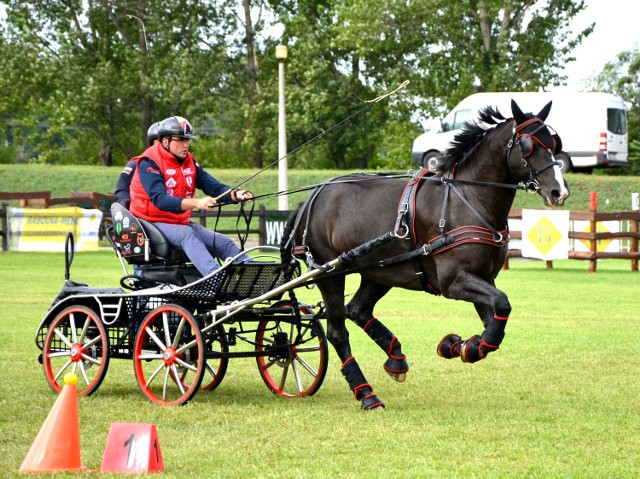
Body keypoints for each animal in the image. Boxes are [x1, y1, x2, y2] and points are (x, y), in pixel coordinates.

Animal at [280, 99, 568, 410]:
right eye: (528, 145)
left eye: (555, 144)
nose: (559, 191)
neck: (467, 198)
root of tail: (309, 200)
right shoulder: (454, 281)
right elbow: (502, 304)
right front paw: (462, 345)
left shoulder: (483, 279)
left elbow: (495, 323)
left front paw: (462, 346)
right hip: (330, 273)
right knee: (337, 330)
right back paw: (366, 393)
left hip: (379, 270)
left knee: (357, 309)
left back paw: (396, 358)